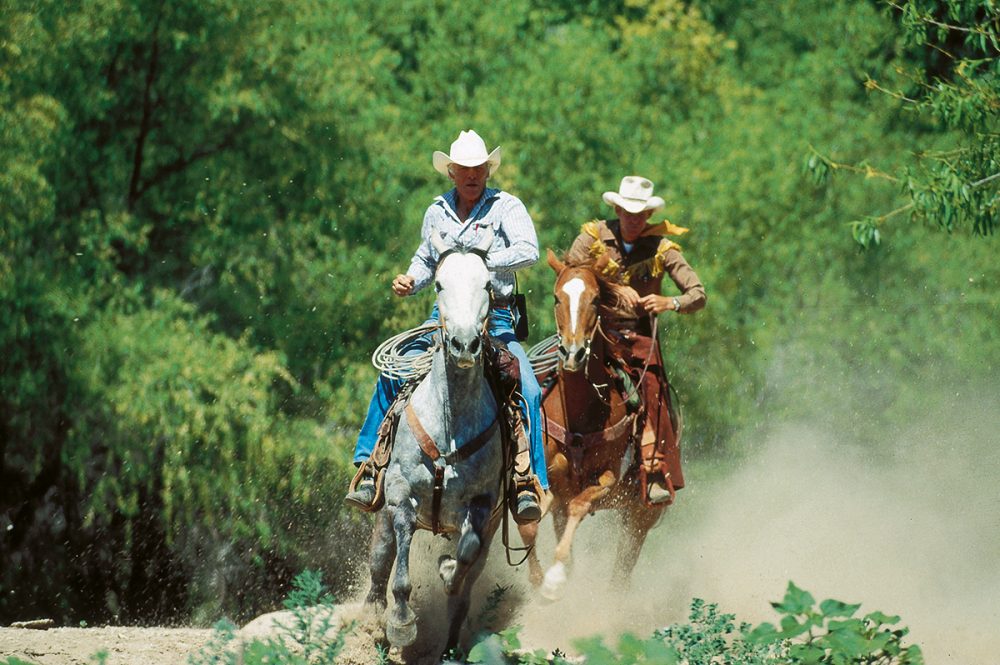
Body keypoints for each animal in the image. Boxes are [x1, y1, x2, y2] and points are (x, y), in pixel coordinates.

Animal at [366, 228, 504, 652]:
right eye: (440, 284)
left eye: (488, 284)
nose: (463, 343)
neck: (450, 424)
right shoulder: (399, 489)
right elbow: (400, 557)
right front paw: (400, 622)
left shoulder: (483, 503)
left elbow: (467, 551)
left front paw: (447, 571)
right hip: (381, 510)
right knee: (379, 561)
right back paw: (372, 620)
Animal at [520, 248, 668, 596]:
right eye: (557, 297)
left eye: (596, 298)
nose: (572, 354)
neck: (579, 417)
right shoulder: (550, 483)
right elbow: (531, 521)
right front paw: (537, 579)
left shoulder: (608, 479)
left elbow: (580, 506)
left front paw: (554, 580)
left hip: (639, 516)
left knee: (623, 567)